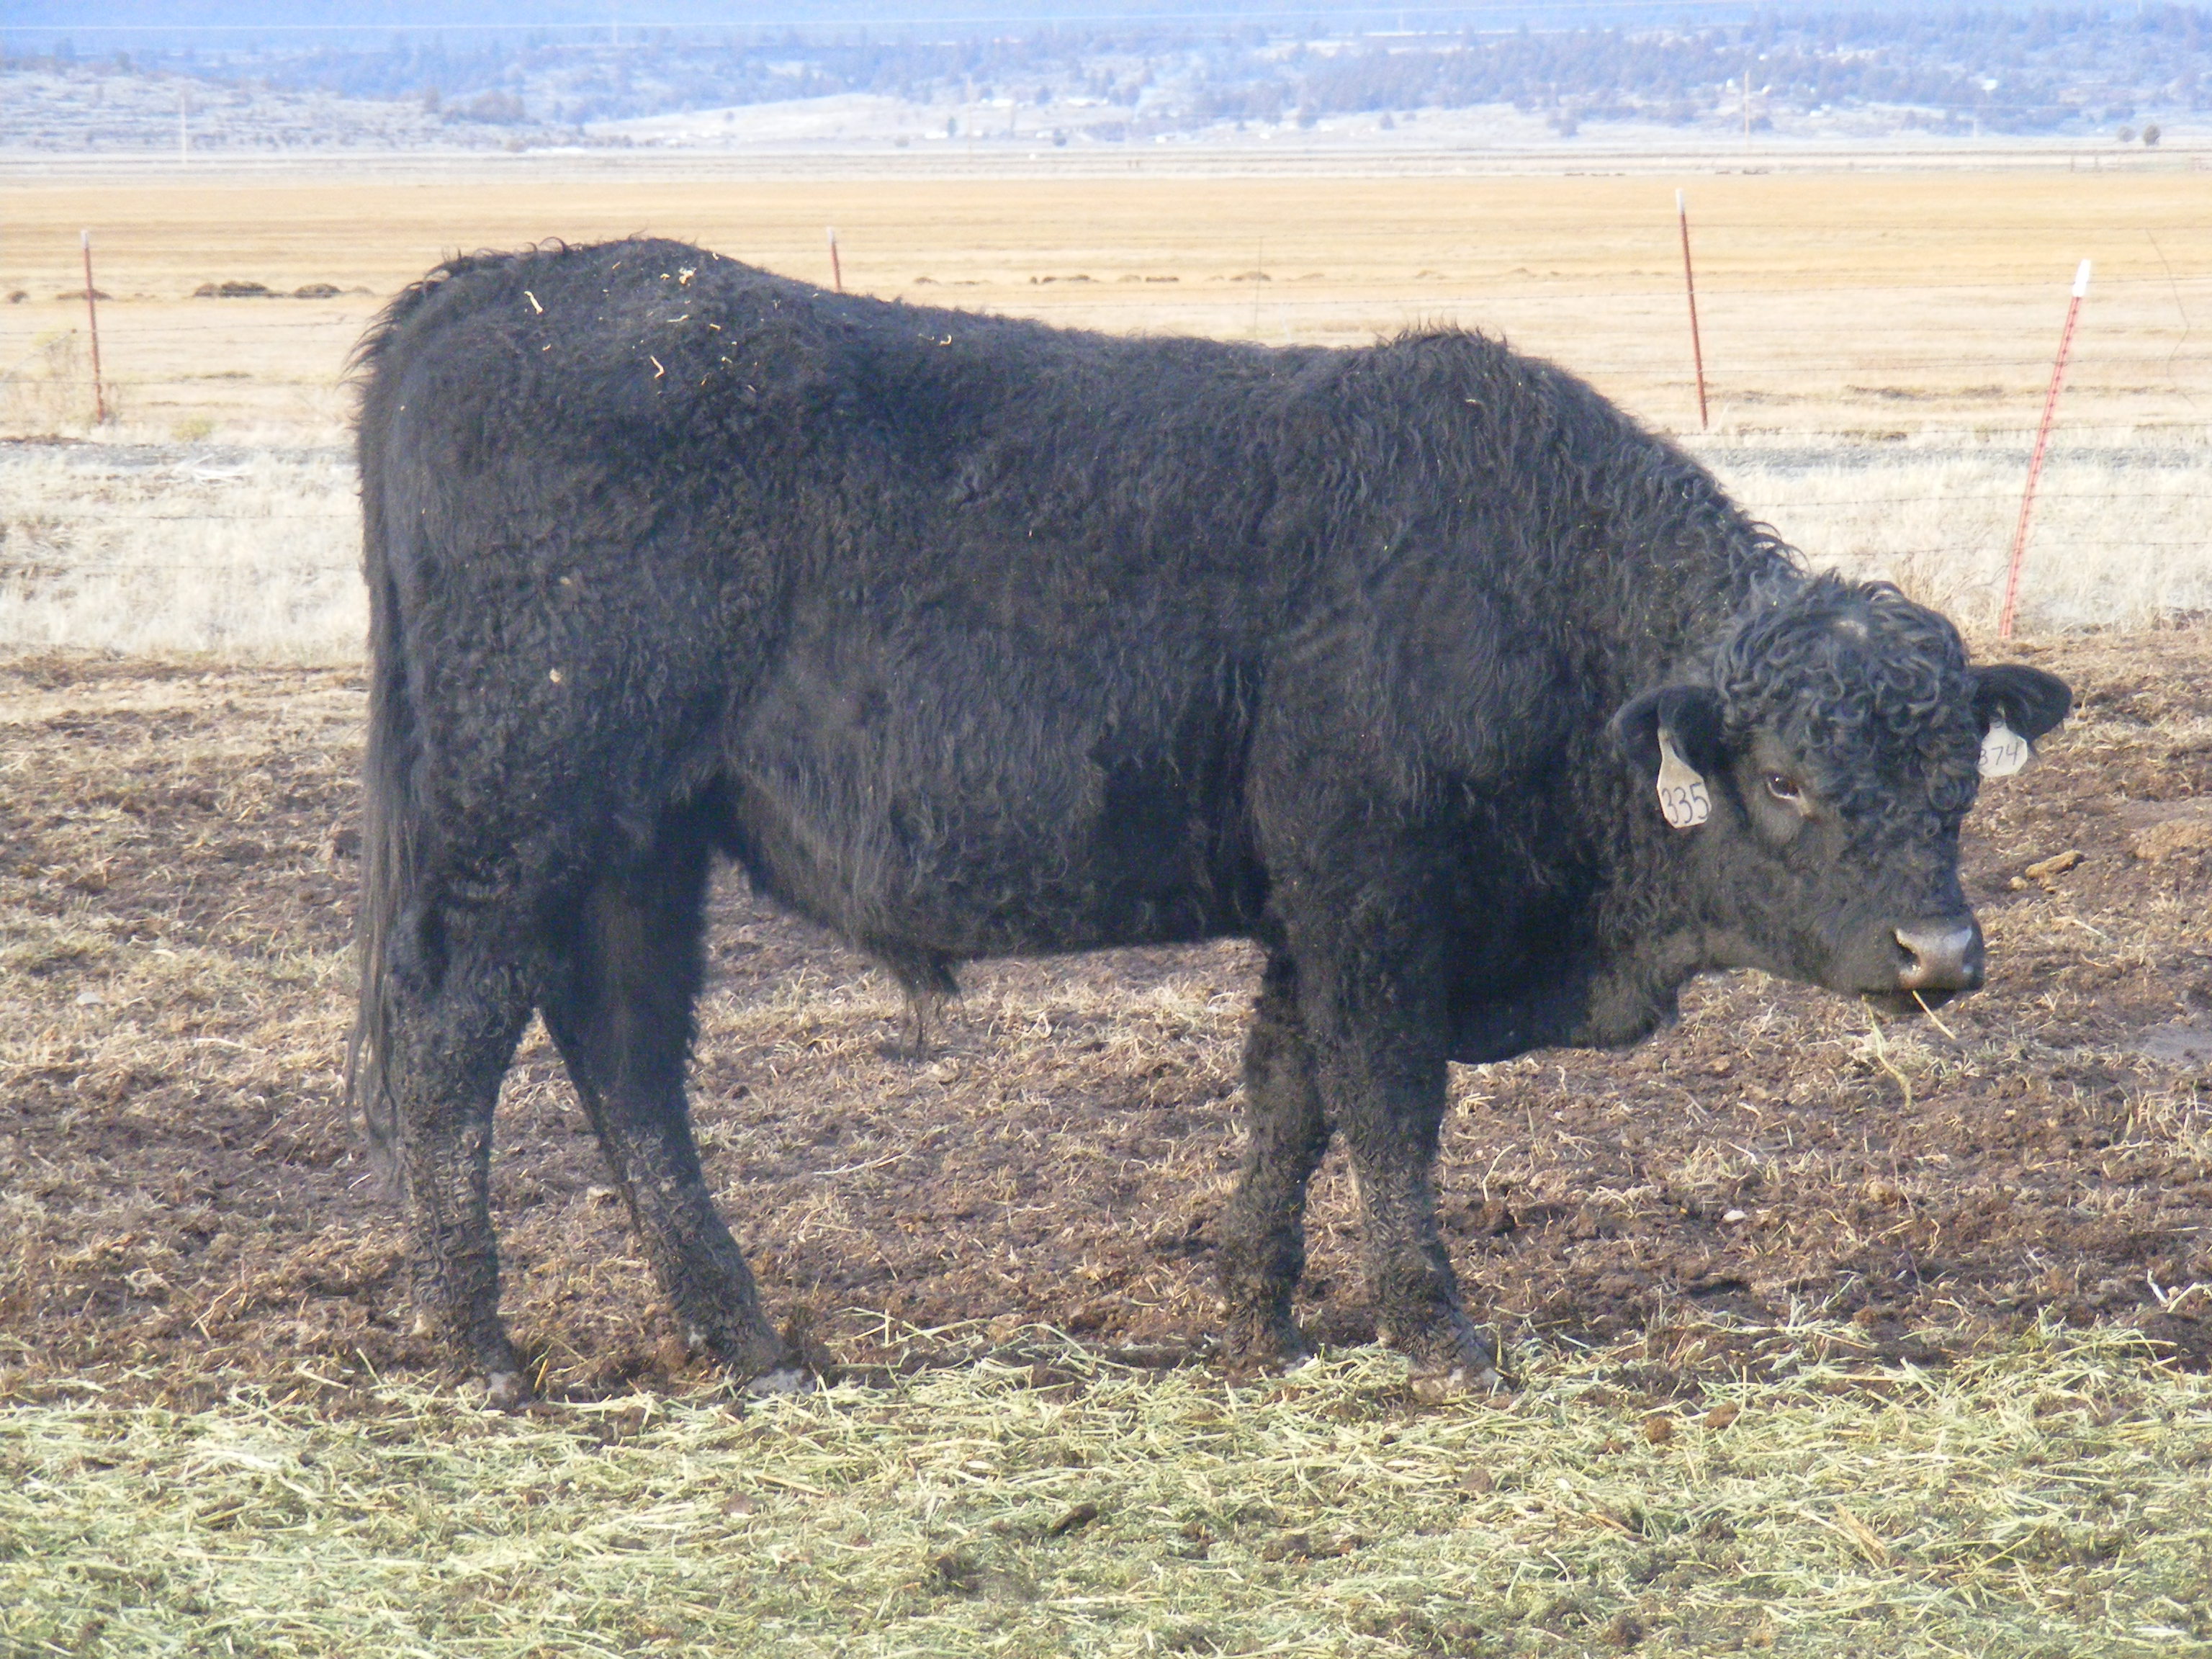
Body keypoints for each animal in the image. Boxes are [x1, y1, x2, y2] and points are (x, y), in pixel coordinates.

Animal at [349, 238, 2071, 1403]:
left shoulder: (1310, 920)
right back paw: (480, 1350)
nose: (1943, 951)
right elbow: (1385, 1102)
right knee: (455, 1044)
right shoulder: (1374, 905)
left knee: (625, 1056)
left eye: (1958, 773)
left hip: (640, 850)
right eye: (1784, 777)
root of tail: (504, 286)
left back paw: (753, 1344)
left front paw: (1261, 1318)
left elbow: (1286, 1102)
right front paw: (1440, 1331)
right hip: (522, 828)